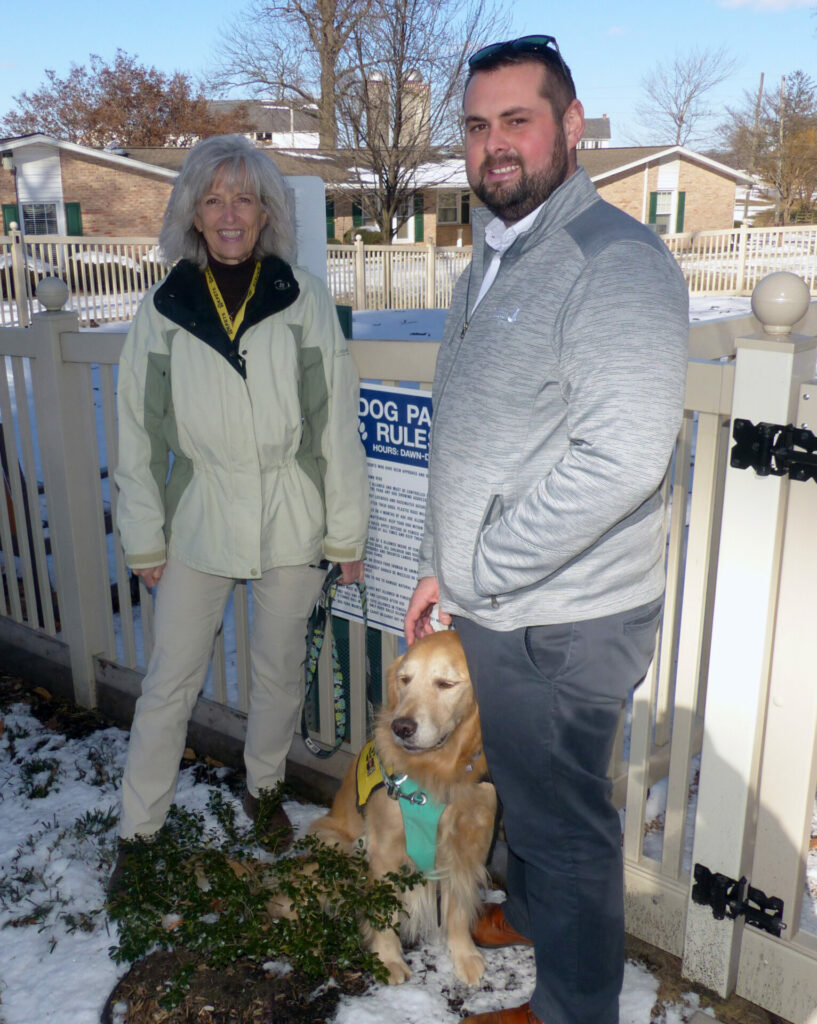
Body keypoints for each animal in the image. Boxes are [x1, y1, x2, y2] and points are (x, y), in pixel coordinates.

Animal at [309, 626, 495, 987]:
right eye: (405, 680)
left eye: (445, 684)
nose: (402, 727)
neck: (437, 773)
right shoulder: (385, 852)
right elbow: (383, 913)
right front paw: (388, 960)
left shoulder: (467, 848)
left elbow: (458, 910)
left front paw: (464, 955)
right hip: (334, 839)